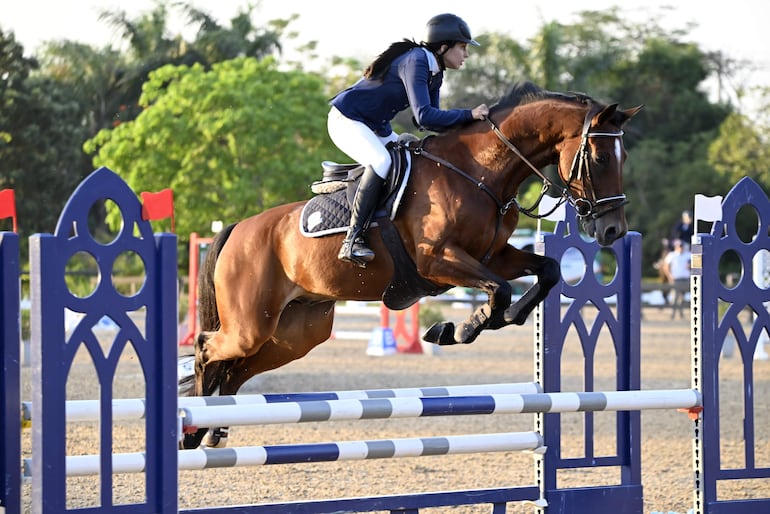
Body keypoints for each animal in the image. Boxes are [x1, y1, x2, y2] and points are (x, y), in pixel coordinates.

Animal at [180, 82, 640, 446]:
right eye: (600, 158)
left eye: (624, 158)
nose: (613, 231)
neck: (478, 172)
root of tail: (237, 229)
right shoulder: (437, 260)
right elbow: (500, 289)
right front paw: (462, 327)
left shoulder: (494, 255)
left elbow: (546, 272)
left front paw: (485, 321)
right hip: (251, 325)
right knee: (205, 348)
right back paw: (191, 431)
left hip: (294, 333)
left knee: (234, 369)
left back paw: (213, 429)